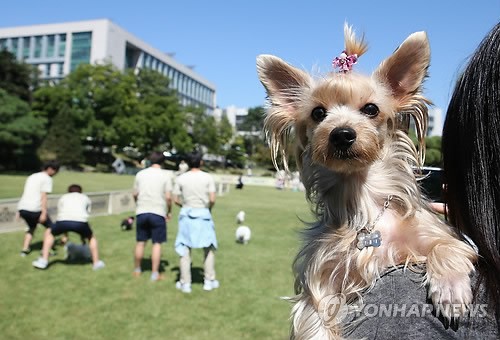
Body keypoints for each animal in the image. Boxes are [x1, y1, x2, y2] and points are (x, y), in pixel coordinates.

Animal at [258, 23, 476, 338]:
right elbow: (315, 320)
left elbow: (445, 245)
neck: (364, 200)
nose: (342, 134)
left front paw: (450, 289)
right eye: (318, 113)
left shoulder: (430, 233)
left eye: (371, 109)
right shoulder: (321, 280)